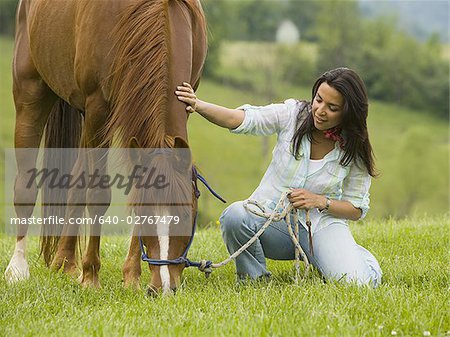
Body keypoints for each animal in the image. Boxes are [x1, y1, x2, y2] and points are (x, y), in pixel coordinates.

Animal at [4, 0, 208, 294]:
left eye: (184, 215)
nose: (163, 287)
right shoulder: (98, 111)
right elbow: (98, 195)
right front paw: (91, 276)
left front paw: (131, 276)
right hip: (31, 93)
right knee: (25, 187)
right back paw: (18, 268)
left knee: (76, 184)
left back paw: (66, 263)